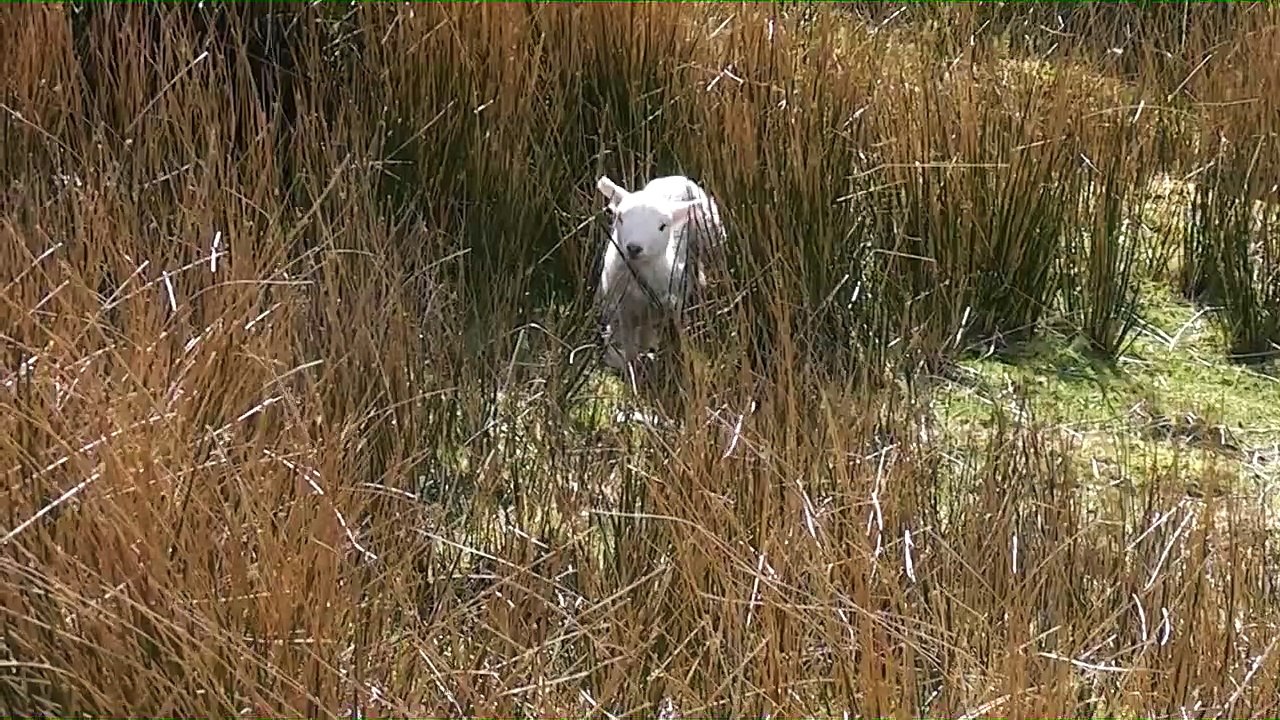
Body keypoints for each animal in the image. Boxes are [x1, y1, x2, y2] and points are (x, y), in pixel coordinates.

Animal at [594, 173, 727, 372]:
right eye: (621, 218)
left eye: (663, 226)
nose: (634, 248)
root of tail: (677, 177)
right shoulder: (623, 311)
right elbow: (629, 348)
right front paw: (634, 368)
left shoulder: (673, 303)